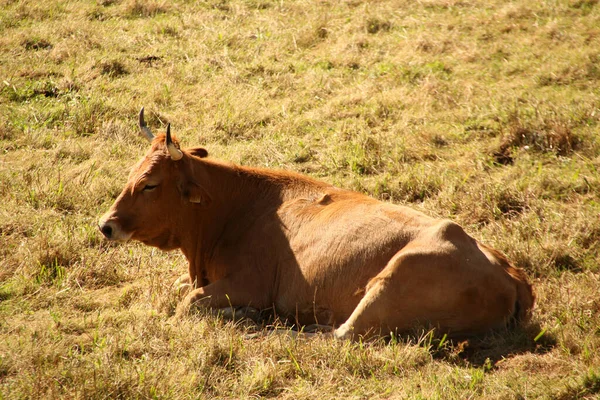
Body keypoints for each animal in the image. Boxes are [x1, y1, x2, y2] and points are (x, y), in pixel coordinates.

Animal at [98, 108, 536, 340]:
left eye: (151, 183)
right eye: (132, 172)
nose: (106, 225)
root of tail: (510, 273)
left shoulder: (249, 285)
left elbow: (185, 305)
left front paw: (244, 313)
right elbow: (181, 290)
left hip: (389, 282)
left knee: (341, 334)